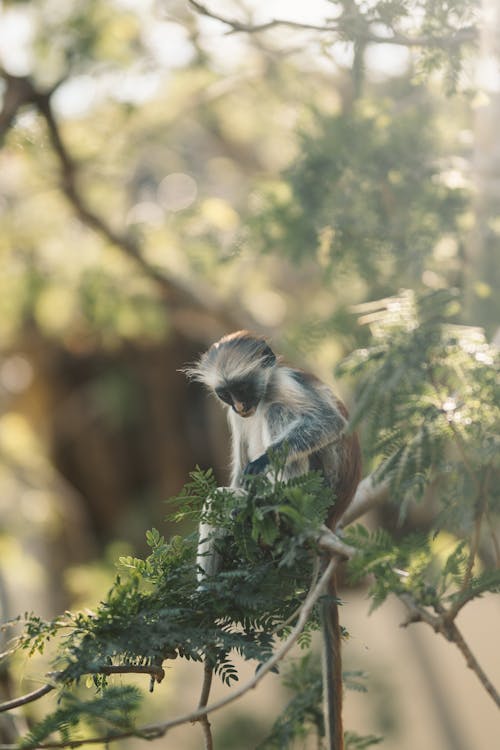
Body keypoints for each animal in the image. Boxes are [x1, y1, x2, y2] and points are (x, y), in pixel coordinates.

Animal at [184, 334, 360, 750]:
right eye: (226, 394)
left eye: (244, 389)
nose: (243, 406)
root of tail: (332, 516)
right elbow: (234, 476)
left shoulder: (282, 384)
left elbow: (330, 423)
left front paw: (260, 467)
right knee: (220, 500)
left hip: (316, 490)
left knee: (281, 414)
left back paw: (273, 503)